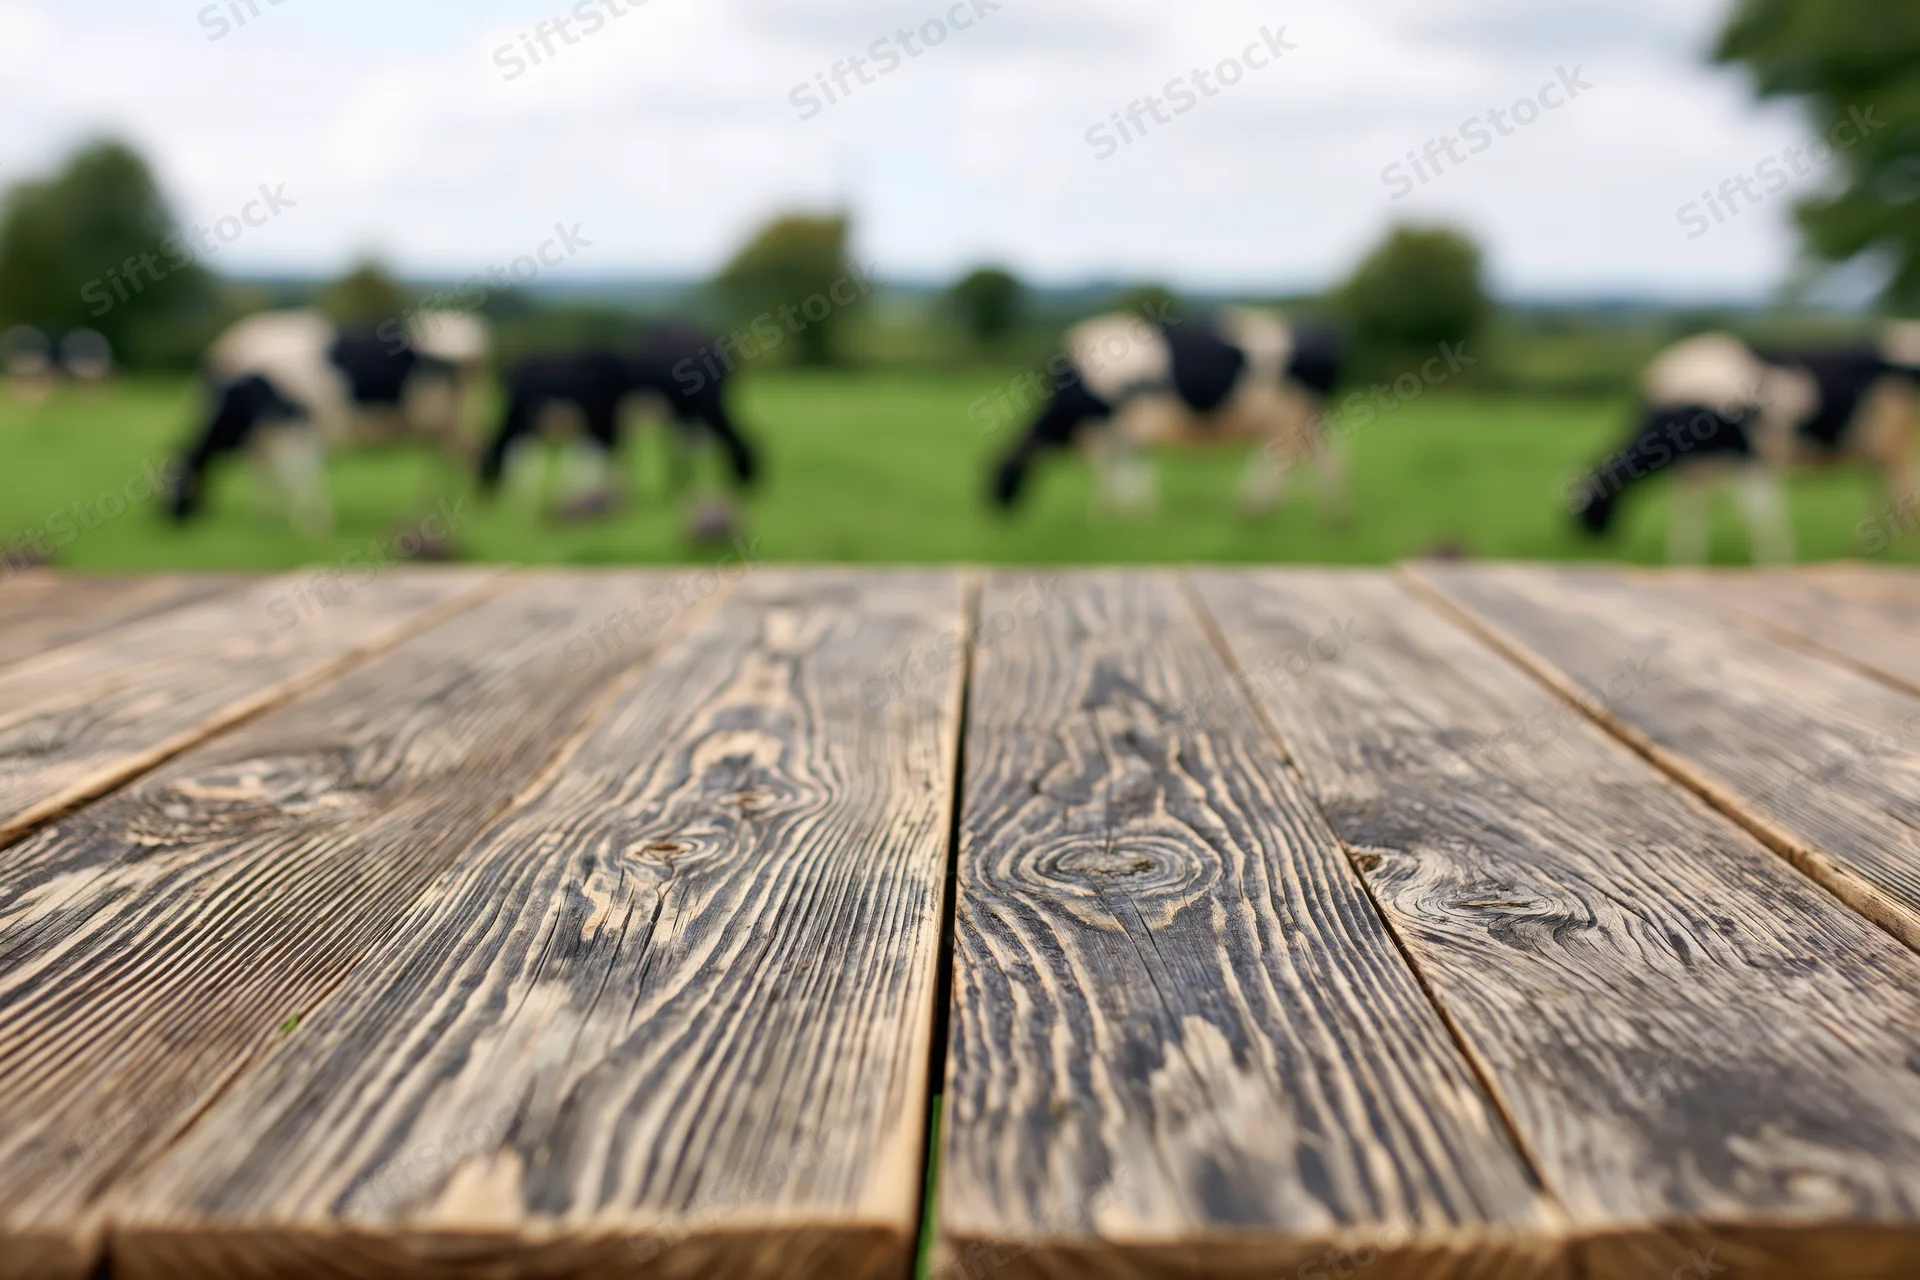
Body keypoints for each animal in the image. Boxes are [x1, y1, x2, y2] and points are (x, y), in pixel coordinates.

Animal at [167, 309, 489, 534]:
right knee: (450, 456)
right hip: (441, 423)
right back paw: (432, 507)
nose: (169, 521)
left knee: (466, 454)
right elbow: (272, 472)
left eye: (176, 482)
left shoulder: (295, 423)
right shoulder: (272, 433)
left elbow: (298, 471)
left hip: (450, 418)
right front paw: (269, 516)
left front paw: (312, 521)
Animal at [989, 308, 1346, 519]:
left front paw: (1108, 513)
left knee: (1287, 457)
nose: (992, 509)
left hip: (1287, 413)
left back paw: (1264, 510)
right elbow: (1130, 465)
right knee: (1316, 458)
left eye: (1002, 474)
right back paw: (1322, 516)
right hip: (1300, 416)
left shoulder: (1116, 425)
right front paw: (1134, 511)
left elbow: (1114, 467)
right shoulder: (1127, 428)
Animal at [1571, 324, 1920, 563]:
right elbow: (1691, 514)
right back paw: (1864, 551)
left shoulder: (1749, 459)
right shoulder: (1694, 470)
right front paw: (1684, 561)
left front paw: (1777, 561)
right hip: (1880, 448)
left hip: (1897, 441)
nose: (1587, 542)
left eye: (1588, 507)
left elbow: (1760, 513)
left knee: (1900, 488)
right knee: (1883, 486)